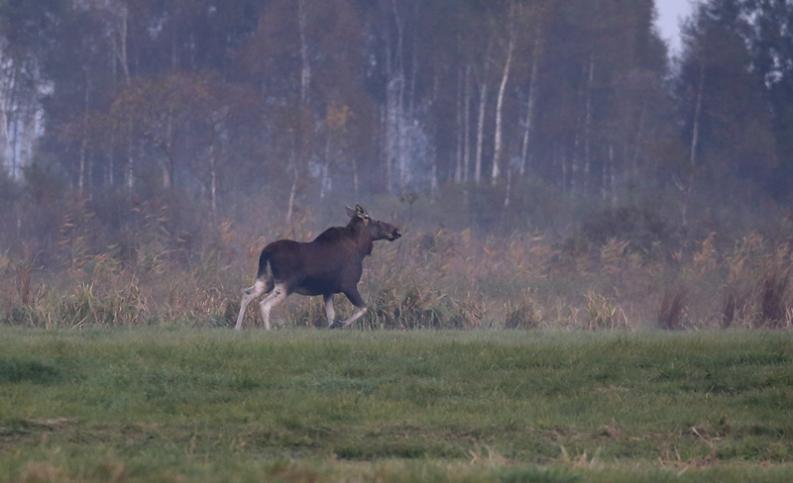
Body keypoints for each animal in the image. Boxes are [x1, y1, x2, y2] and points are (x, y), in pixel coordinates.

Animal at [232, 206, 400, 330]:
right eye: (374, 220)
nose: (396, 230)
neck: (360, 249)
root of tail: (265, 253)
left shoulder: (328, 290)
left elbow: (331, 316)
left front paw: (332, 327)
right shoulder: (348, 285)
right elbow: (363, 308)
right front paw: (340, 324)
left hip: (265, 281)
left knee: (247, 294)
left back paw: (237, 328)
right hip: (285, 285)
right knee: (264, 304)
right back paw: (268, 330)